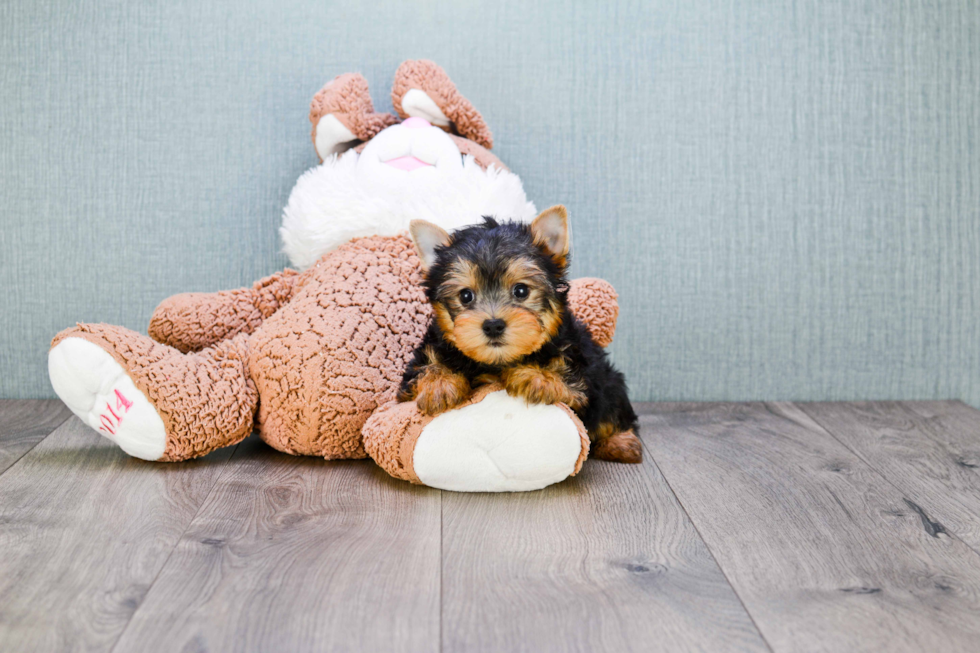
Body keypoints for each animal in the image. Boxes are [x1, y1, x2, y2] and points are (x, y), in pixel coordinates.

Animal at [398, 205, 644, 464]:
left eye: (521, 291)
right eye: (465, 296)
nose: (493, 325)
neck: (498, 362)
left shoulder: (582, 376)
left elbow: (569, 380)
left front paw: (535, 377)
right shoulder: (417, 369)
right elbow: (426, 369)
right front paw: (440, 384)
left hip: (609, 381)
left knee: (613, 410)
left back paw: (621, 442)